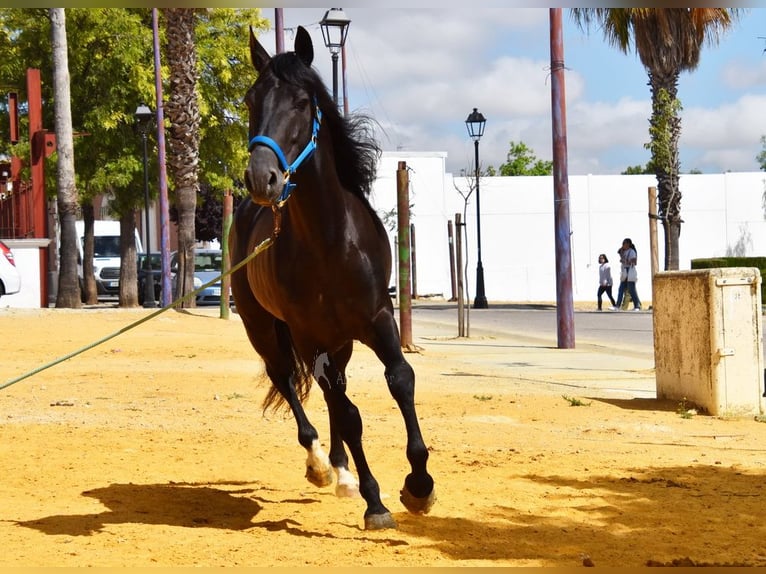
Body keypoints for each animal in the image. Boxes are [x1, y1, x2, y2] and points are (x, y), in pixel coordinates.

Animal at [228, 25, 436, 532]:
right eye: (249, 99)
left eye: (304, 101)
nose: (261, 178)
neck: (330, 242)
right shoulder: (310, 336)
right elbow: (350, 413)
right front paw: (376, 502)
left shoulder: (379, 318)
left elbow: (401, 380)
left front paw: (419, 486)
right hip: (267, 330)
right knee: (291, 382)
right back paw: (322, 464)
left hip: (340, 342)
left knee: (331, 391)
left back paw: (341, 470)